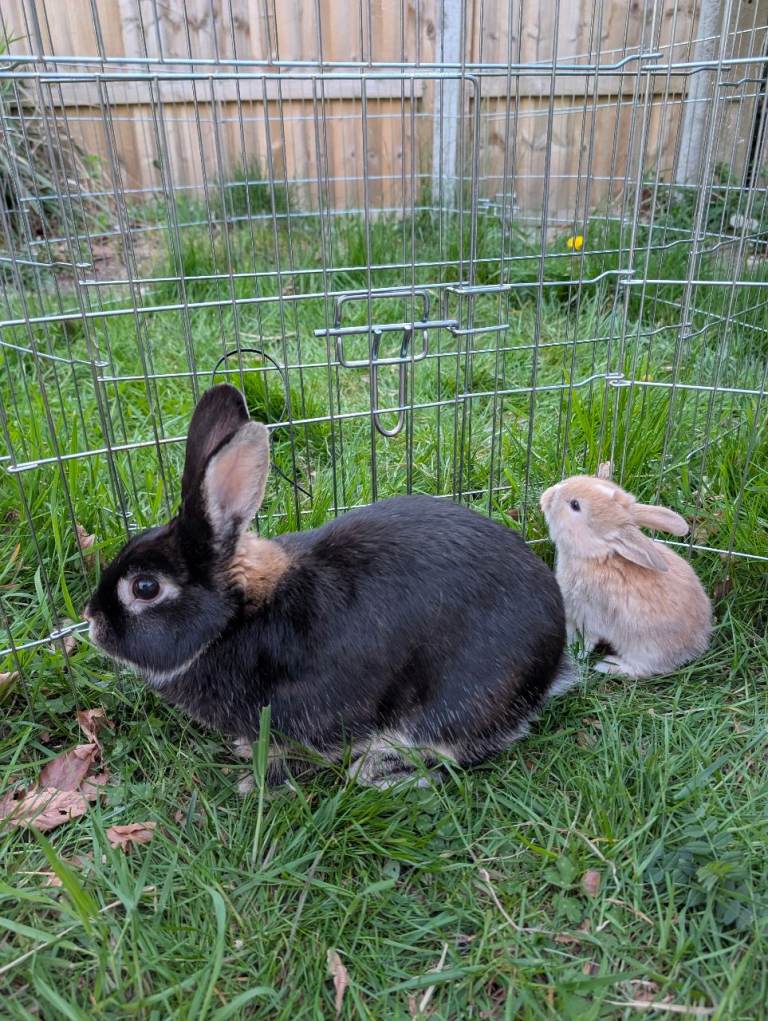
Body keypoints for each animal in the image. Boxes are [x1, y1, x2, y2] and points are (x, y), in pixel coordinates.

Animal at [84, 383, 574, 787]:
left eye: (145, 588)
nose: (92, 622)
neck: (237, 619)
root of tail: (551, 664)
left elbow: (303, 756)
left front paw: (258, 782)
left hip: (454, 701)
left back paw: (378, 773)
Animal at [540, 475, 712, 678]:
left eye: (575, 505)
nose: (547, 495)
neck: (595, 557)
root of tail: (697, 645)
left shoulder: (588, 615)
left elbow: (585, 639)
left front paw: (577, 653)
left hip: (644, 649)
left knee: (642, 670)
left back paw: (608, 665)